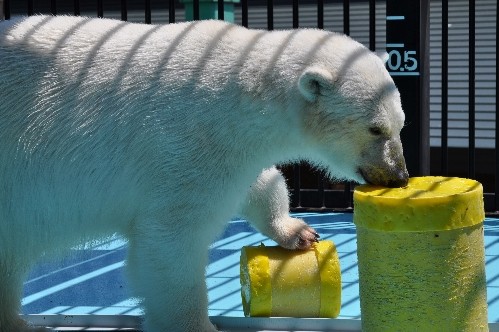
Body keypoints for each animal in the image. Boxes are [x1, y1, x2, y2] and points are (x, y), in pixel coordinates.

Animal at [0, 15, 408, 332]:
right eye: (375, 129)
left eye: (400, 124)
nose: (399, 176)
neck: (240, 88)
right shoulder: (184, 143)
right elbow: (170, 243)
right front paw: (196, 323)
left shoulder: (231, 148)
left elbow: (259, 184)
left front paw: (297, 231)